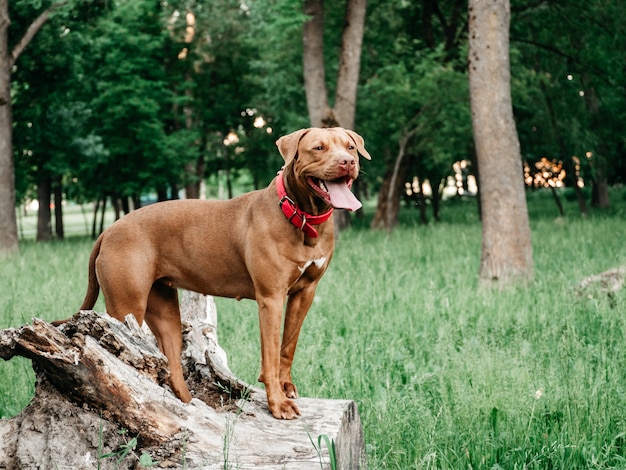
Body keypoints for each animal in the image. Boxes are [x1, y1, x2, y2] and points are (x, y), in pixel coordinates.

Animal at [66, 127, 368, 418]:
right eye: (318, 148)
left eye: (350, 147)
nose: (348, 161)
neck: (301, 215)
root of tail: (108, 231)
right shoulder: (271, 298)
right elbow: (270, 354)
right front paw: (277, 404)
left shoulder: (304, 294)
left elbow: (287, 347)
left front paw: (286, 387)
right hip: (126, 307)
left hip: (165, 313)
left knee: (173, 367)